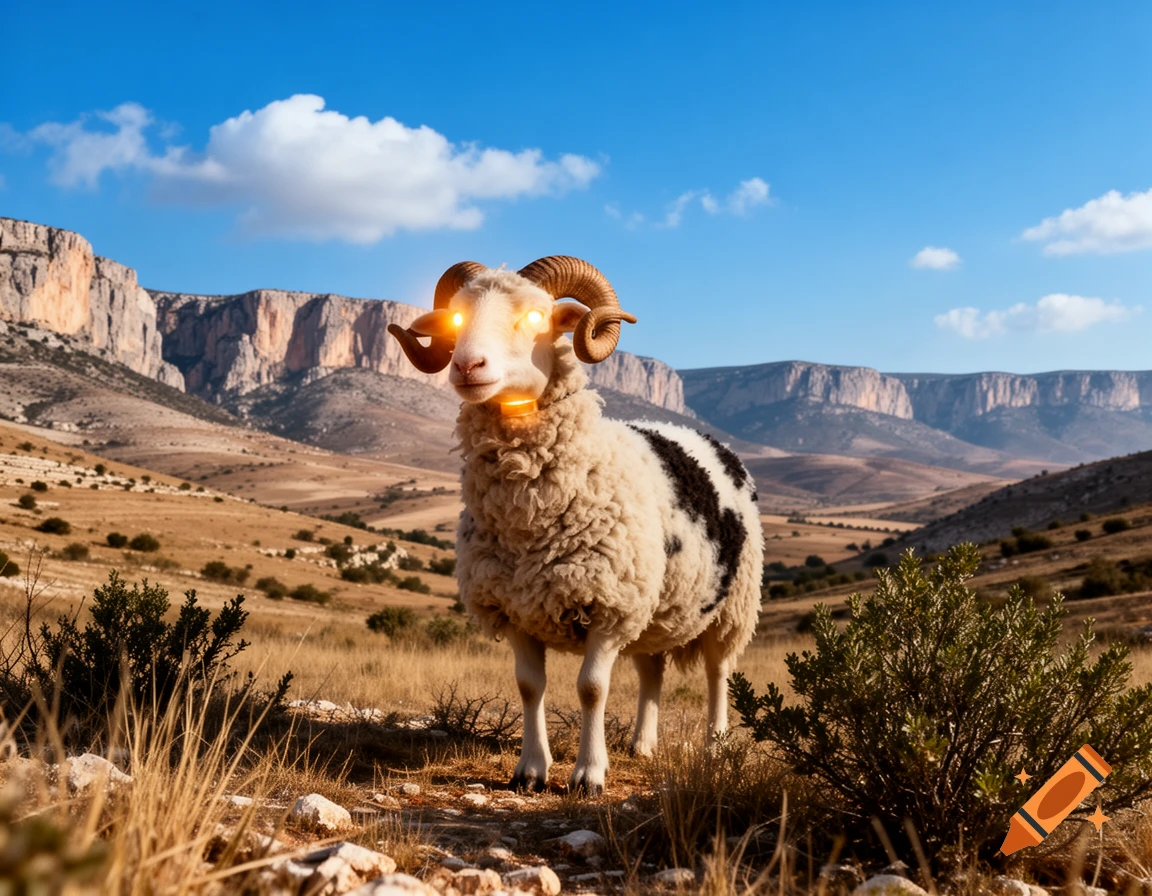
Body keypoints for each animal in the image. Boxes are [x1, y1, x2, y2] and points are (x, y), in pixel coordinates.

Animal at [388, 256, 763, 794]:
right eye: (456, 320)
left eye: (536, 318)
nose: (466, 367)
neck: (530, 522)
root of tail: (702, 436)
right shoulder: (515, 609)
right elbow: (529, 686)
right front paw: (530, 770)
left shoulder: (609, 608)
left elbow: (591, 689)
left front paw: (589, 775)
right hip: (652, 607)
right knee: (652, 672)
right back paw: (642, 745)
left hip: (731, 607)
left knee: (719, 672)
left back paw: (716, 747)